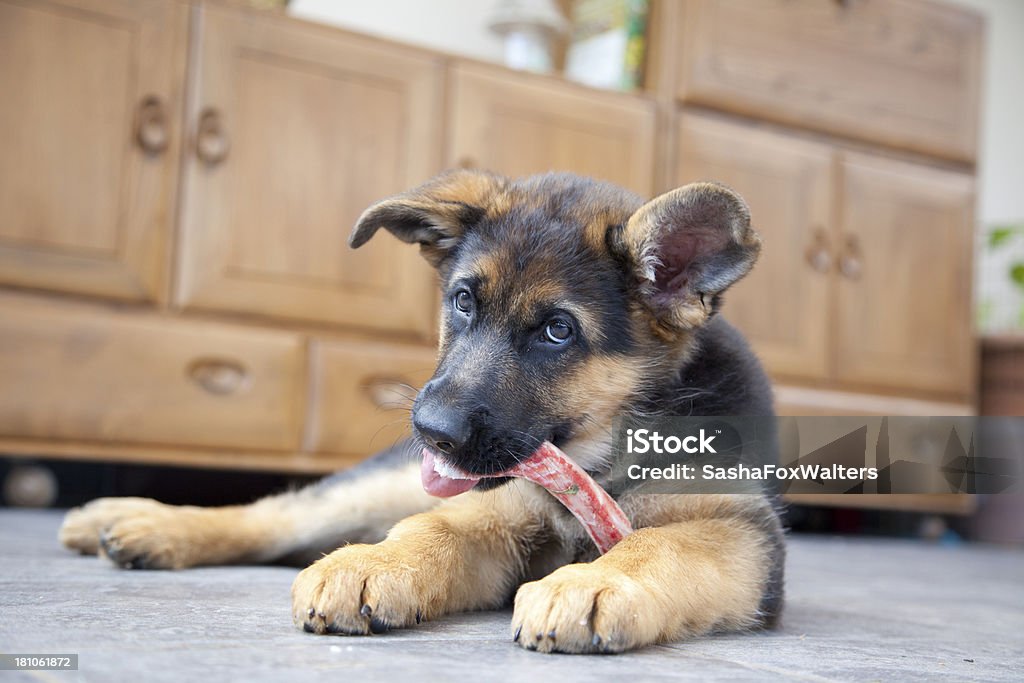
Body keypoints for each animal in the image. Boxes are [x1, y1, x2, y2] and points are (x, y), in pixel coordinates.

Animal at [59, 169, 782, 651]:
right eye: (463, 301)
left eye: (557, 331)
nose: (431, 432)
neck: (607, 449)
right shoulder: (495, 513)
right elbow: (431, 530)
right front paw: (373, 565)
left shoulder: (740, 533)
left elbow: (659, 545)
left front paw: (592, 582)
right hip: (381, 486)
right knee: (278, 515)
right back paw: (135, 521)